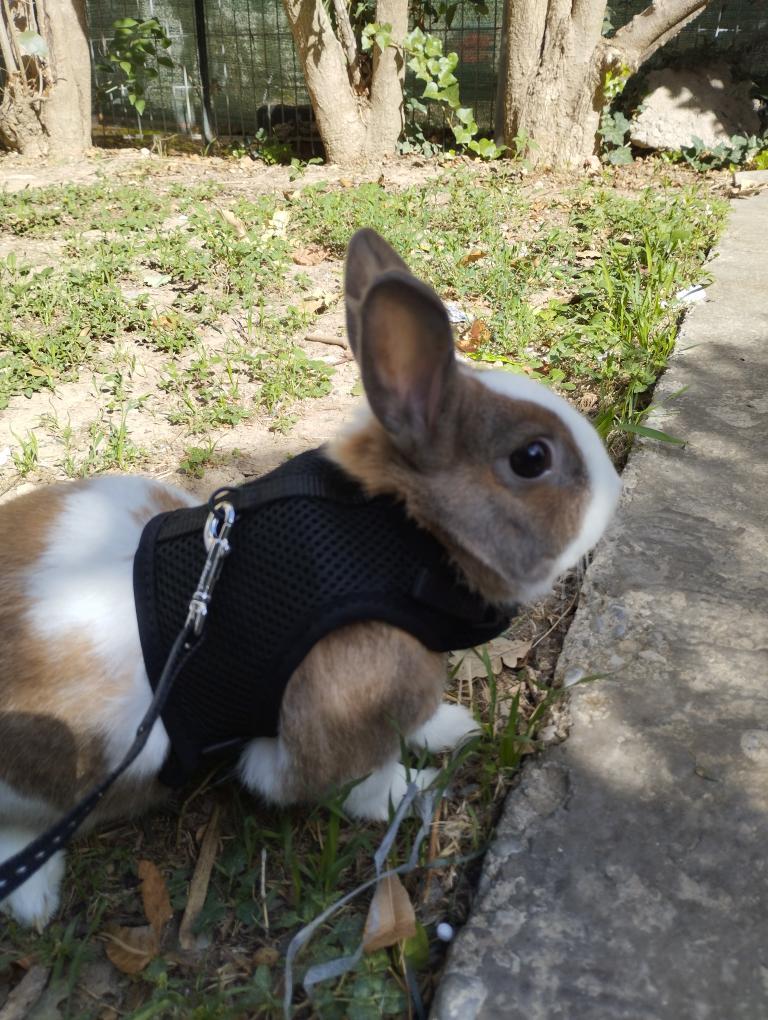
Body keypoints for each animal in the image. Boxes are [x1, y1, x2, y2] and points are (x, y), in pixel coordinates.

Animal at [0, 228, 621, 930]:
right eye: (532, 458)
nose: (616, 492)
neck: (405, 536)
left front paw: (451, 729)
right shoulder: (351, 705)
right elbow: (353, 782)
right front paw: (418, 788)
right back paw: (35, 898)